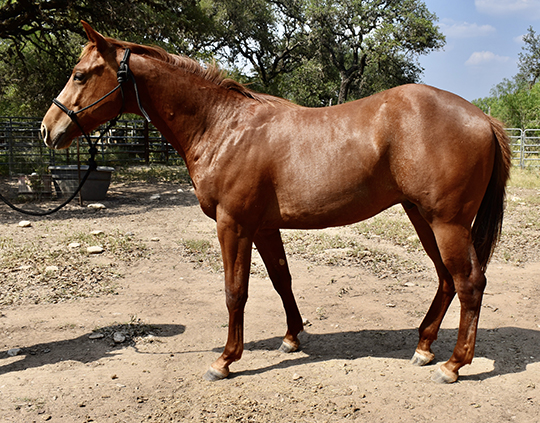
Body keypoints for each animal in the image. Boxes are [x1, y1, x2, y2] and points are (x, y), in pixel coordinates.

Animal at [42, 22, 510, 384]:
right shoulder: (265, 227)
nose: (49, 129)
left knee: (470, 283)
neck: (223, 127)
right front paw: (291, 338)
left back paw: (453, 364)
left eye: (80, 74)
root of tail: (482, 117)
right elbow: (282, 280)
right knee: (447, 280)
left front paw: (225, 360)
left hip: (446, 222)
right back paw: (424, 347)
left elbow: (235, 292)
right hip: (422, 217)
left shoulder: (233, 225)